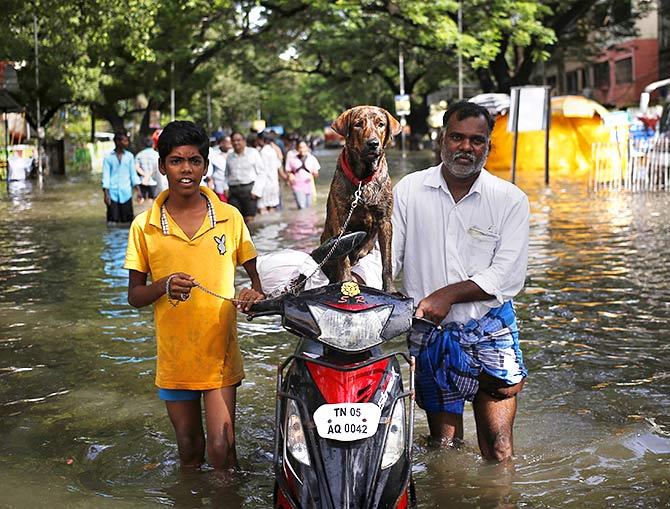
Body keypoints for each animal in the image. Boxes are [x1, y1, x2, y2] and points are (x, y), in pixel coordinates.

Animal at [322, 105, 402, 292]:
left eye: (381, 124)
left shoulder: (385, 222)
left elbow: (387, 261)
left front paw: (390, 289)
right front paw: (346, 281)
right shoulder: (340, 221)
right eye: (358, 124)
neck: (363, 179)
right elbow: (342, 257)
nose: (373, 143)